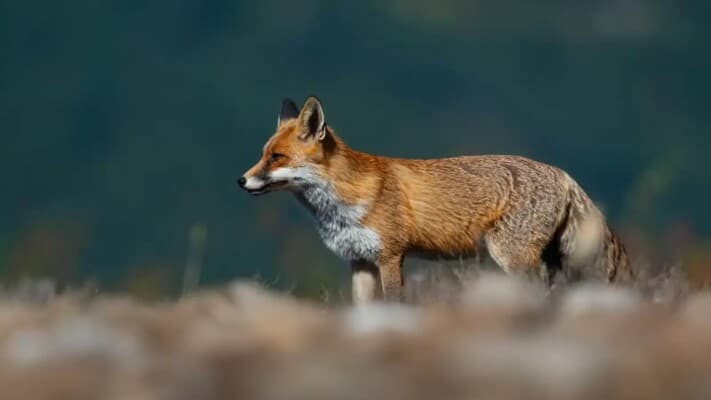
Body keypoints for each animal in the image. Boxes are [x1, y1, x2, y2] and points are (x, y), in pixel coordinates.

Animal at [238, 96, 634, 303]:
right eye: (263, 154)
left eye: (276, 158)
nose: (240, 181)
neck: (343, 204)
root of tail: (563, 173)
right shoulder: (360, 260)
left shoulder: (391, 257)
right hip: (551, 261)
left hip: (511, 257)